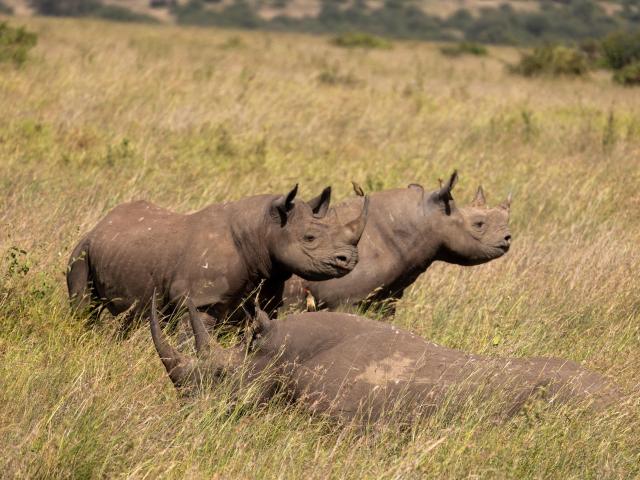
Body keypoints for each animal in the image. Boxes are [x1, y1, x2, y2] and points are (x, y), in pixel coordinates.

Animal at [67, 185, 369, 333]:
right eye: (309, 238)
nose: (350, 259)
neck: (262, 229)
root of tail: (98, 225)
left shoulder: (266, 288)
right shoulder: (200, 298)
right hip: (81, 251)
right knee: (84, 307)